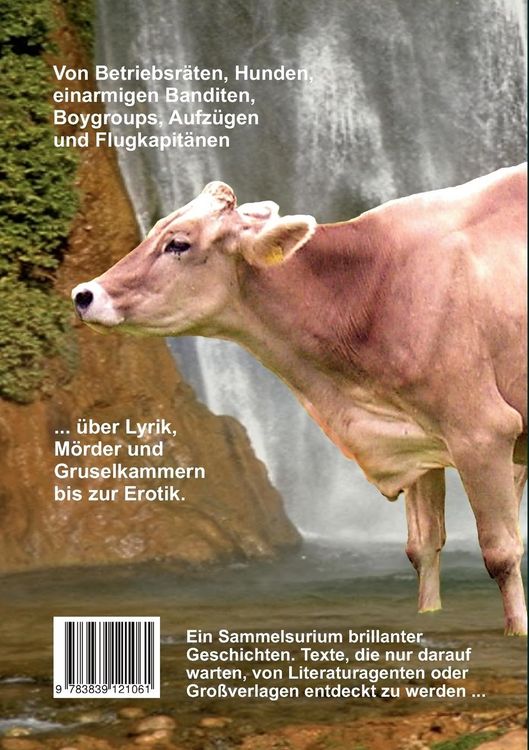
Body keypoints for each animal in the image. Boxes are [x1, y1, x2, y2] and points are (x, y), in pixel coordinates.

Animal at [72, 164, 527, 635]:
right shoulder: (415, 441)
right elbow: (422, 549)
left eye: (178, 243)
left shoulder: (482, 432)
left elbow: (501, 552)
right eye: (155, 228)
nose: (84, 294)